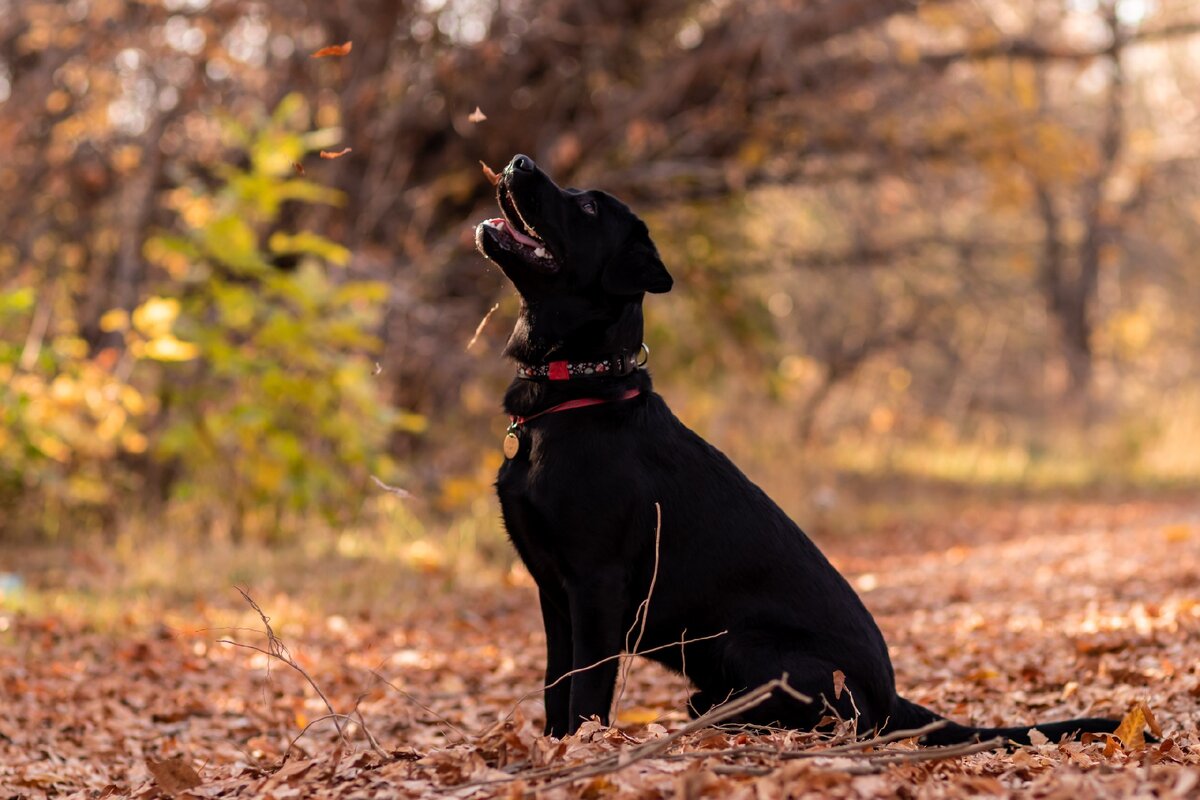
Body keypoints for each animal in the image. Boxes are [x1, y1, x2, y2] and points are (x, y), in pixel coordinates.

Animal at [472, 154, 1118, 743]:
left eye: (585, 207)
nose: (518, 160)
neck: (576, 390)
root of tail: (891, 699)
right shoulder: (555, 593)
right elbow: (556, 686)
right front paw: (550, 749)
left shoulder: (596, 586)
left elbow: (585, 691)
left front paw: (579, 751)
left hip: (746, 645)